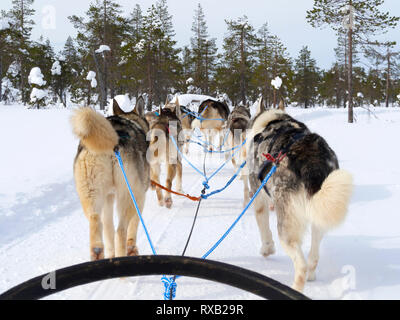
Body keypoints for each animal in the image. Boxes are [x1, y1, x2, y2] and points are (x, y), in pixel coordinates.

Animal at [71, 99, 149, 262]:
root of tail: (113, 143)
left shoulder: (108, 197)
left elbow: (108, 228)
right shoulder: (140, 197)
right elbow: (133, 226)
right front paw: (132, 249)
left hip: (91, 196)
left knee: (97, 222)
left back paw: (98, 253)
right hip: (130, 196)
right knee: (121, 231)